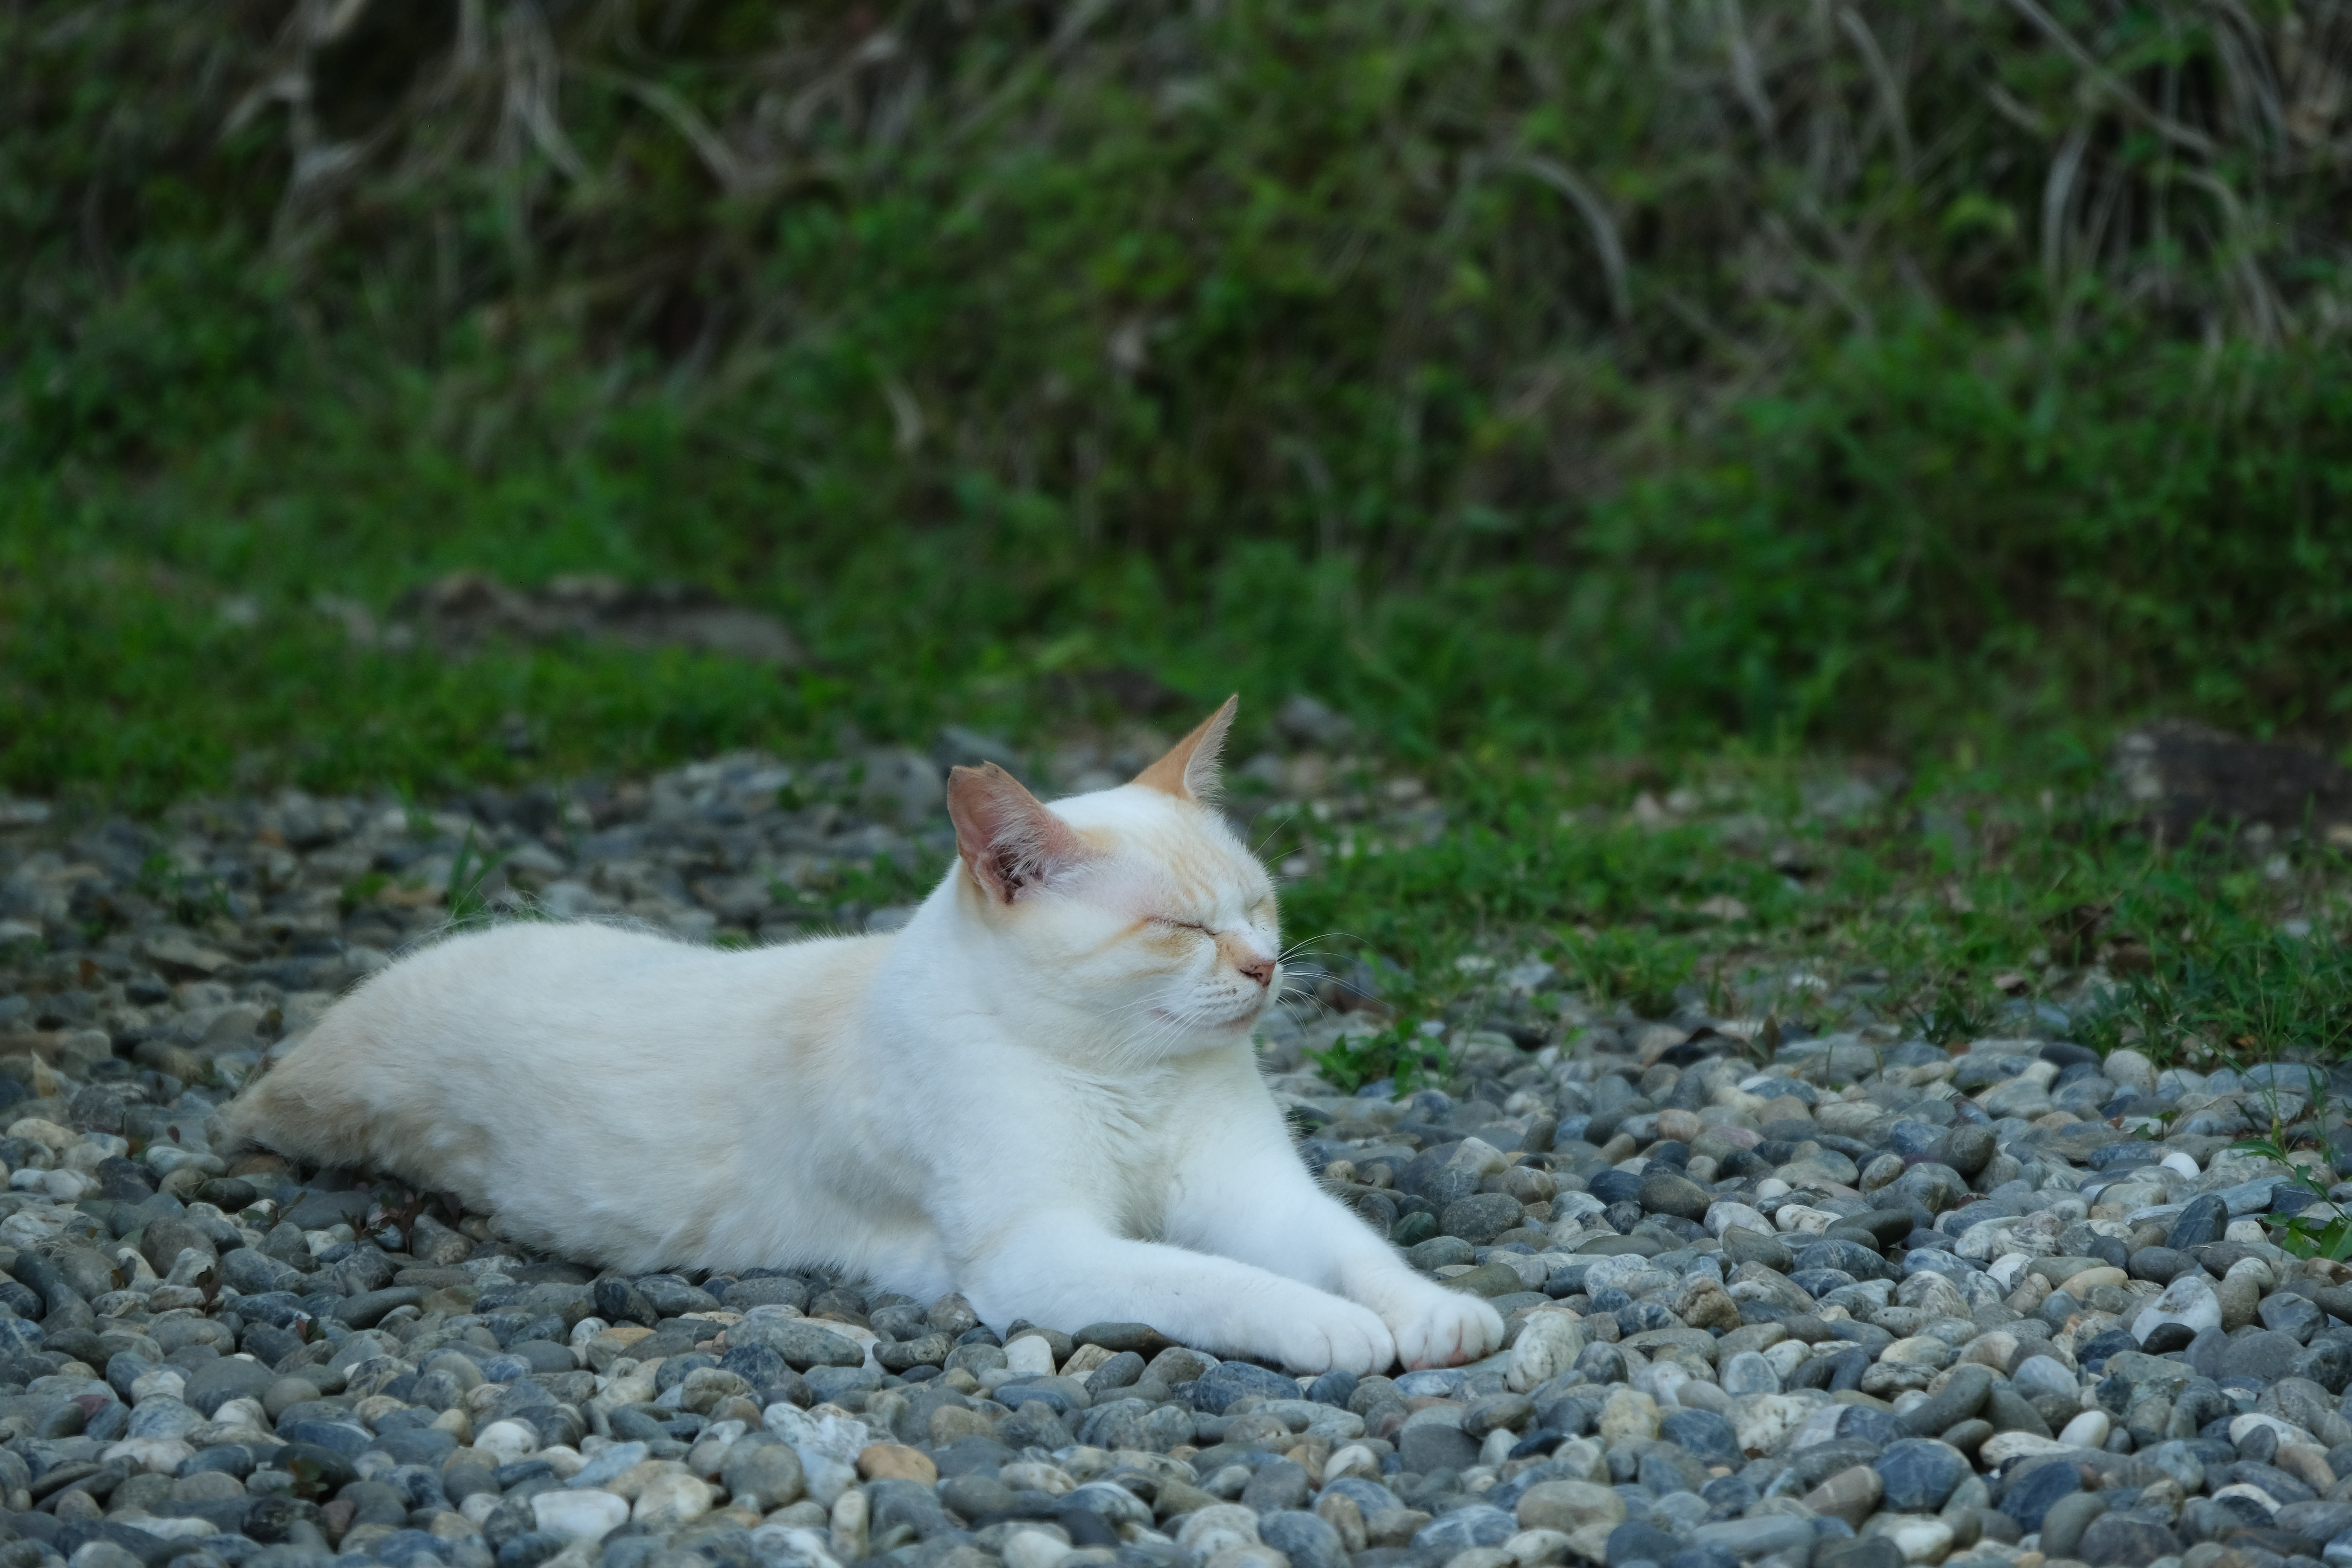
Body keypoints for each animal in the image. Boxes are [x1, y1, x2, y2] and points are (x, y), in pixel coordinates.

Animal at [218, 698, 1503, 1373]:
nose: (1265, 967)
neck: (1121, 1071)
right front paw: (1339, 1334)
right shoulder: (1043, 1249)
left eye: (1259, 907)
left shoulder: (1258, 1194)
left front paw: (1430, 1317)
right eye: (1182, 929)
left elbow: (1355, 1254)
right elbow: (1221, 1284)